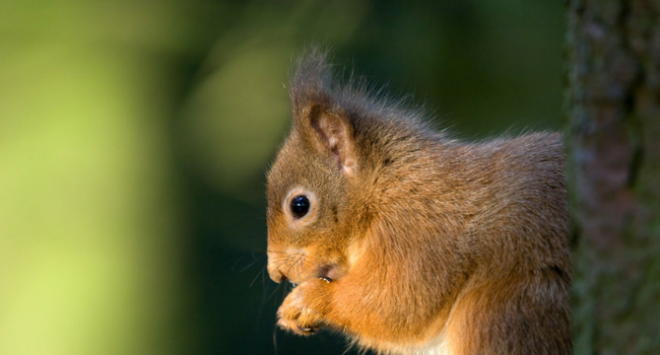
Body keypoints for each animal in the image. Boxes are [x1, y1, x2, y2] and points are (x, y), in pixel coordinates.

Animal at [266, 50, 568, 355]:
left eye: (300, 206)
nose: (275, 273)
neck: (387, 188)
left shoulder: (419, 233)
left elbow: (398, 302)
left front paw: (308, 300)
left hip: (502, 313)